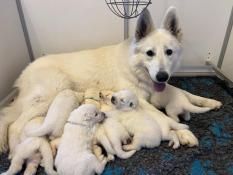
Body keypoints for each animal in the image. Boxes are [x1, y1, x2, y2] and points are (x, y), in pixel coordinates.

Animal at [0, 7, 222, 154]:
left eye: (169, 52)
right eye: (150, 53)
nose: (162, 76)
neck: (134, 68)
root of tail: (26, 70)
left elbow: (187, 93)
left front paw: (209, 101)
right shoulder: (141, 100)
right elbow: (164, 117)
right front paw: (184, 133)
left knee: (6, 115)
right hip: (51, 93)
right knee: (15, 124)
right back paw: (13, 148)